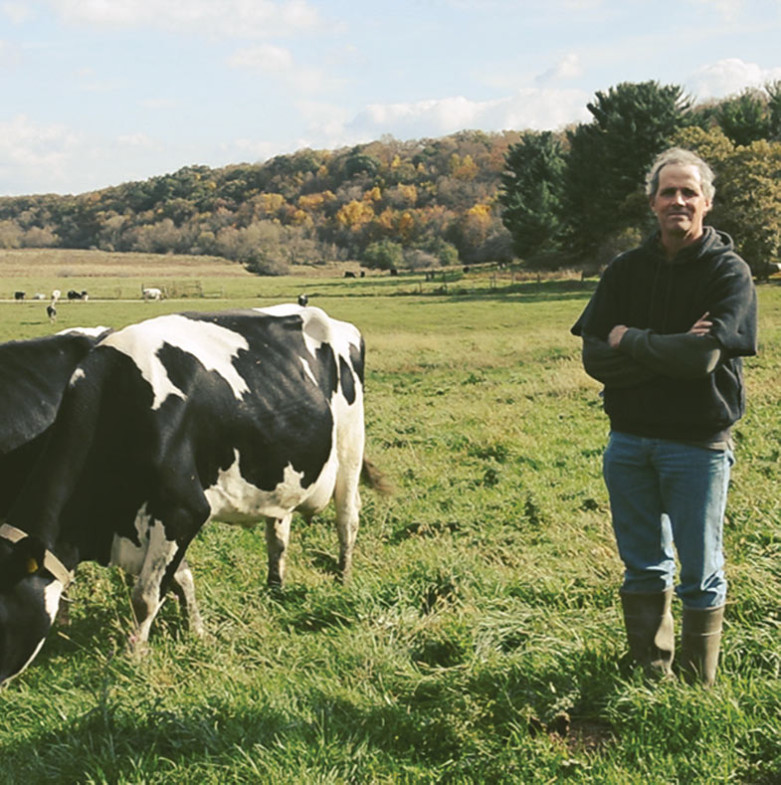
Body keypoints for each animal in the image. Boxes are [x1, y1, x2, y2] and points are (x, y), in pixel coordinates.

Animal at [0, 305, 376, 685]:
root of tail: (315, 312)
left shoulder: (183, 509)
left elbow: (146, 595)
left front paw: (136, 655)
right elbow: (180, 578)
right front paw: (196, 631)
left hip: (350, 447)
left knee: (347, 518)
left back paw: (343, 578)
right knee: (278, 533)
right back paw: (274, 586)